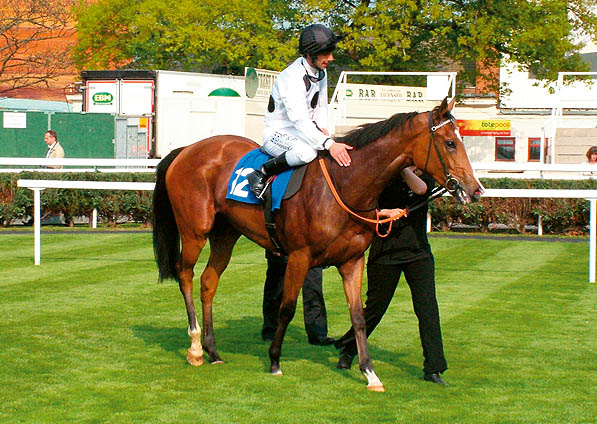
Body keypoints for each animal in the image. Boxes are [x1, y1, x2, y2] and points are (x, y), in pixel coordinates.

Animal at [152, 96, 484, 390]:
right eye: (450, 142)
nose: (475, 189)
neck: (344, 184)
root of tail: (187, 149)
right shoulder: (299, 257)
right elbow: (286, 308)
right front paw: (274, 361)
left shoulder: (352, 261)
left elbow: (359, 316)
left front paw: (370, 373)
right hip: (195, 230)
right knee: (185, 273)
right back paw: (195, 347)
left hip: (226, 234)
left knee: (209, 281)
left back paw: (213, 351)